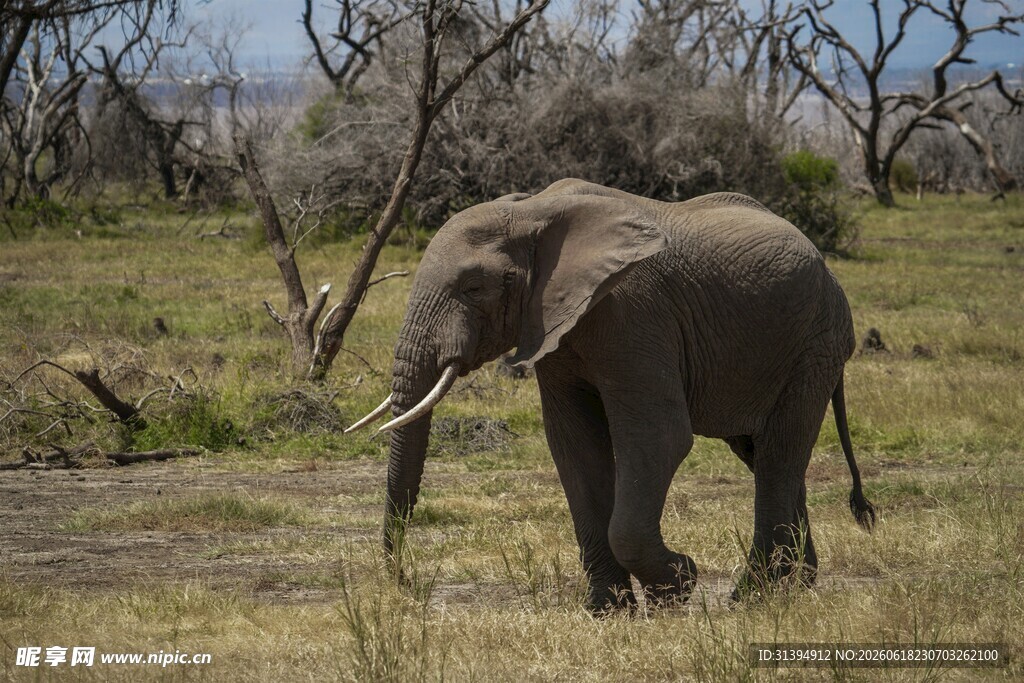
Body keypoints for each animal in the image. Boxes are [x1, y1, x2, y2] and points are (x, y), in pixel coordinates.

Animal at [347, 178, 875, 613]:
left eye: (474, 287)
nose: (403, 580)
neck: (532, 212)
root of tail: (828, 268)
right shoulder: (554, 327)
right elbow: (575, 447)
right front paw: (608, 611)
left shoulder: (635, 313)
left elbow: (659, 437)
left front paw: (677, 586)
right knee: (763, 453)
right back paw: (796, 586)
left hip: (816, 345)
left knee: (779, 453)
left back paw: (752, 596)